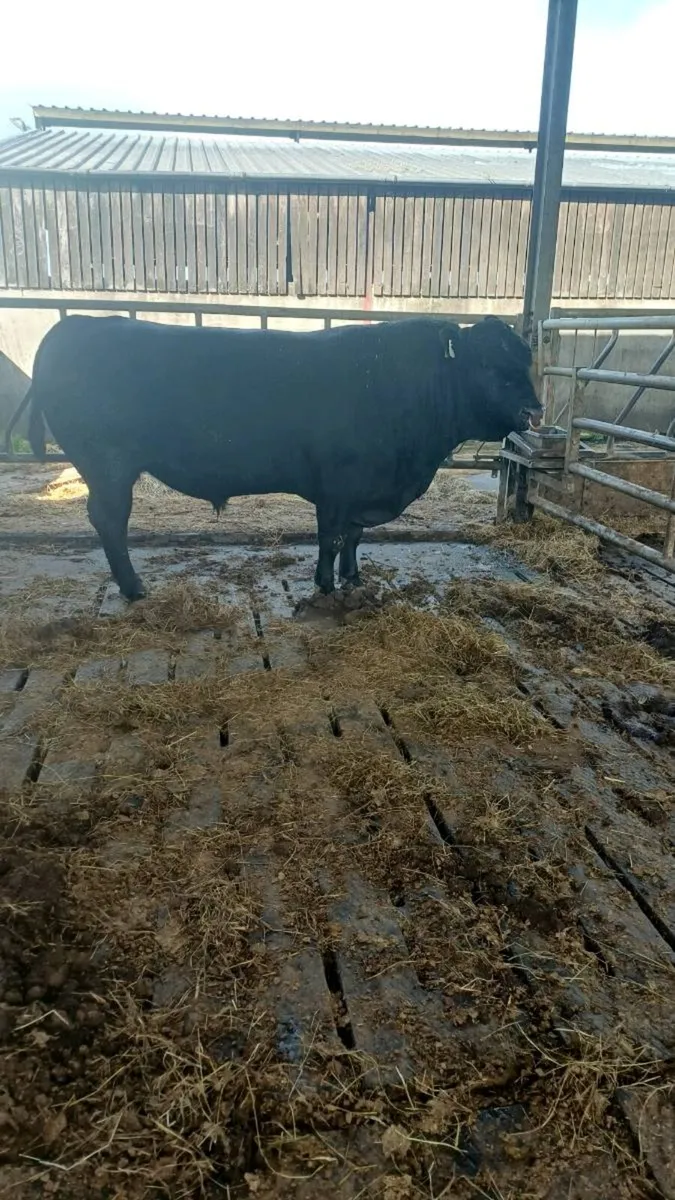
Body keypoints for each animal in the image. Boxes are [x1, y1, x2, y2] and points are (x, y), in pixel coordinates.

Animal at [27, 314, 542, 600]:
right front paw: (326, 584)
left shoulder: (362, 489)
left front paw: (353, 579)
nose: (534, 411)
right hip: (107, 466)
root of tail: (75, 323)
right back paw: (134, 588)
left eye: (527, 360)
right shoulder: (337, 484)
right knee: (109, 521)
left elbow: (355, 538)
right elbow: (332, 538)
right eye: (488, 364)